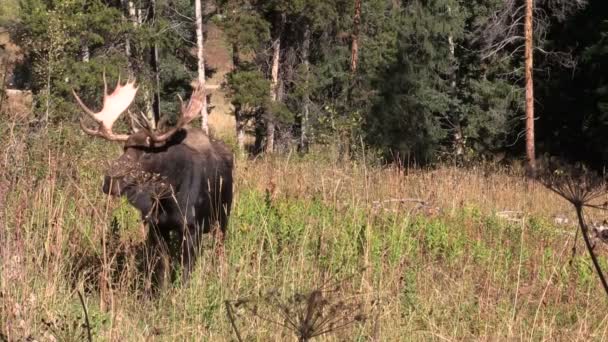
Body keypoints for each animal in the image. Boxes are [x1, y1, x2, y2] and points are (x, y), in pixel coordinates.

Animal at [72, 75, 233, 288]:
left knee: (220, 249)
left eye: (147, 154)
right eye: (124, 148)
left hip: (223, 216)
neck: (169, 197)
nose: (110, 180)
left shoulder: (192, 228)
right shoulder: (156, 227)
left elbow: (186, 271)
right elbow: (162, 269)